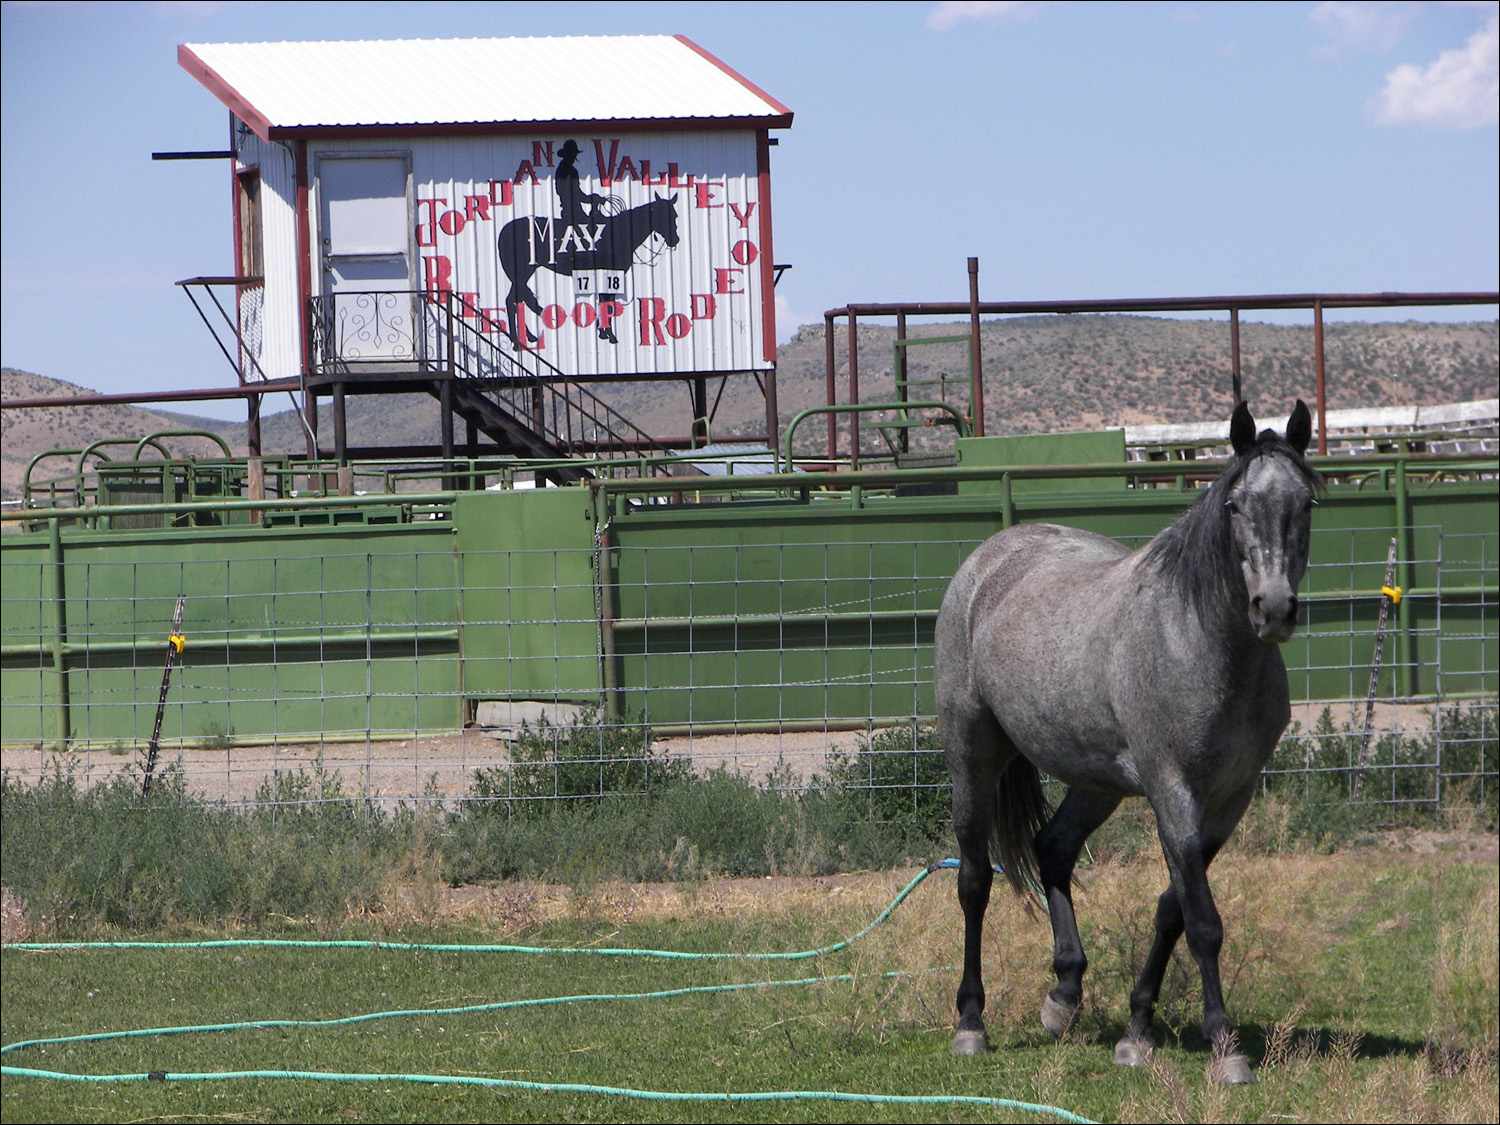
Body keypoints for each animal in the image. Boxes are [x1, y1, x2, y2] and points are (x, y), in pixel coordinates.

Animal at [942, 402, 1320, 1086]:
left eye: (1306, 502)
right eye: (1234, 505)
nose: (1273, 608)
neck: (1197, 642)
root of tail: (989, 559)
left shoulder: (1229, 800)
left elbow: (1173, 907)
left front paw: (1137, 1031)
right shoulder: (1173, 790)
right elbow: (1202, 921)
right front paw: (1225, 1046)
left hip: (1097, 782)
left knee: (1052, 849)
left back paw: (1064, 997)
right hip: (971, 754)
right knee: (975, 880)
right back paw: (971, 1023)